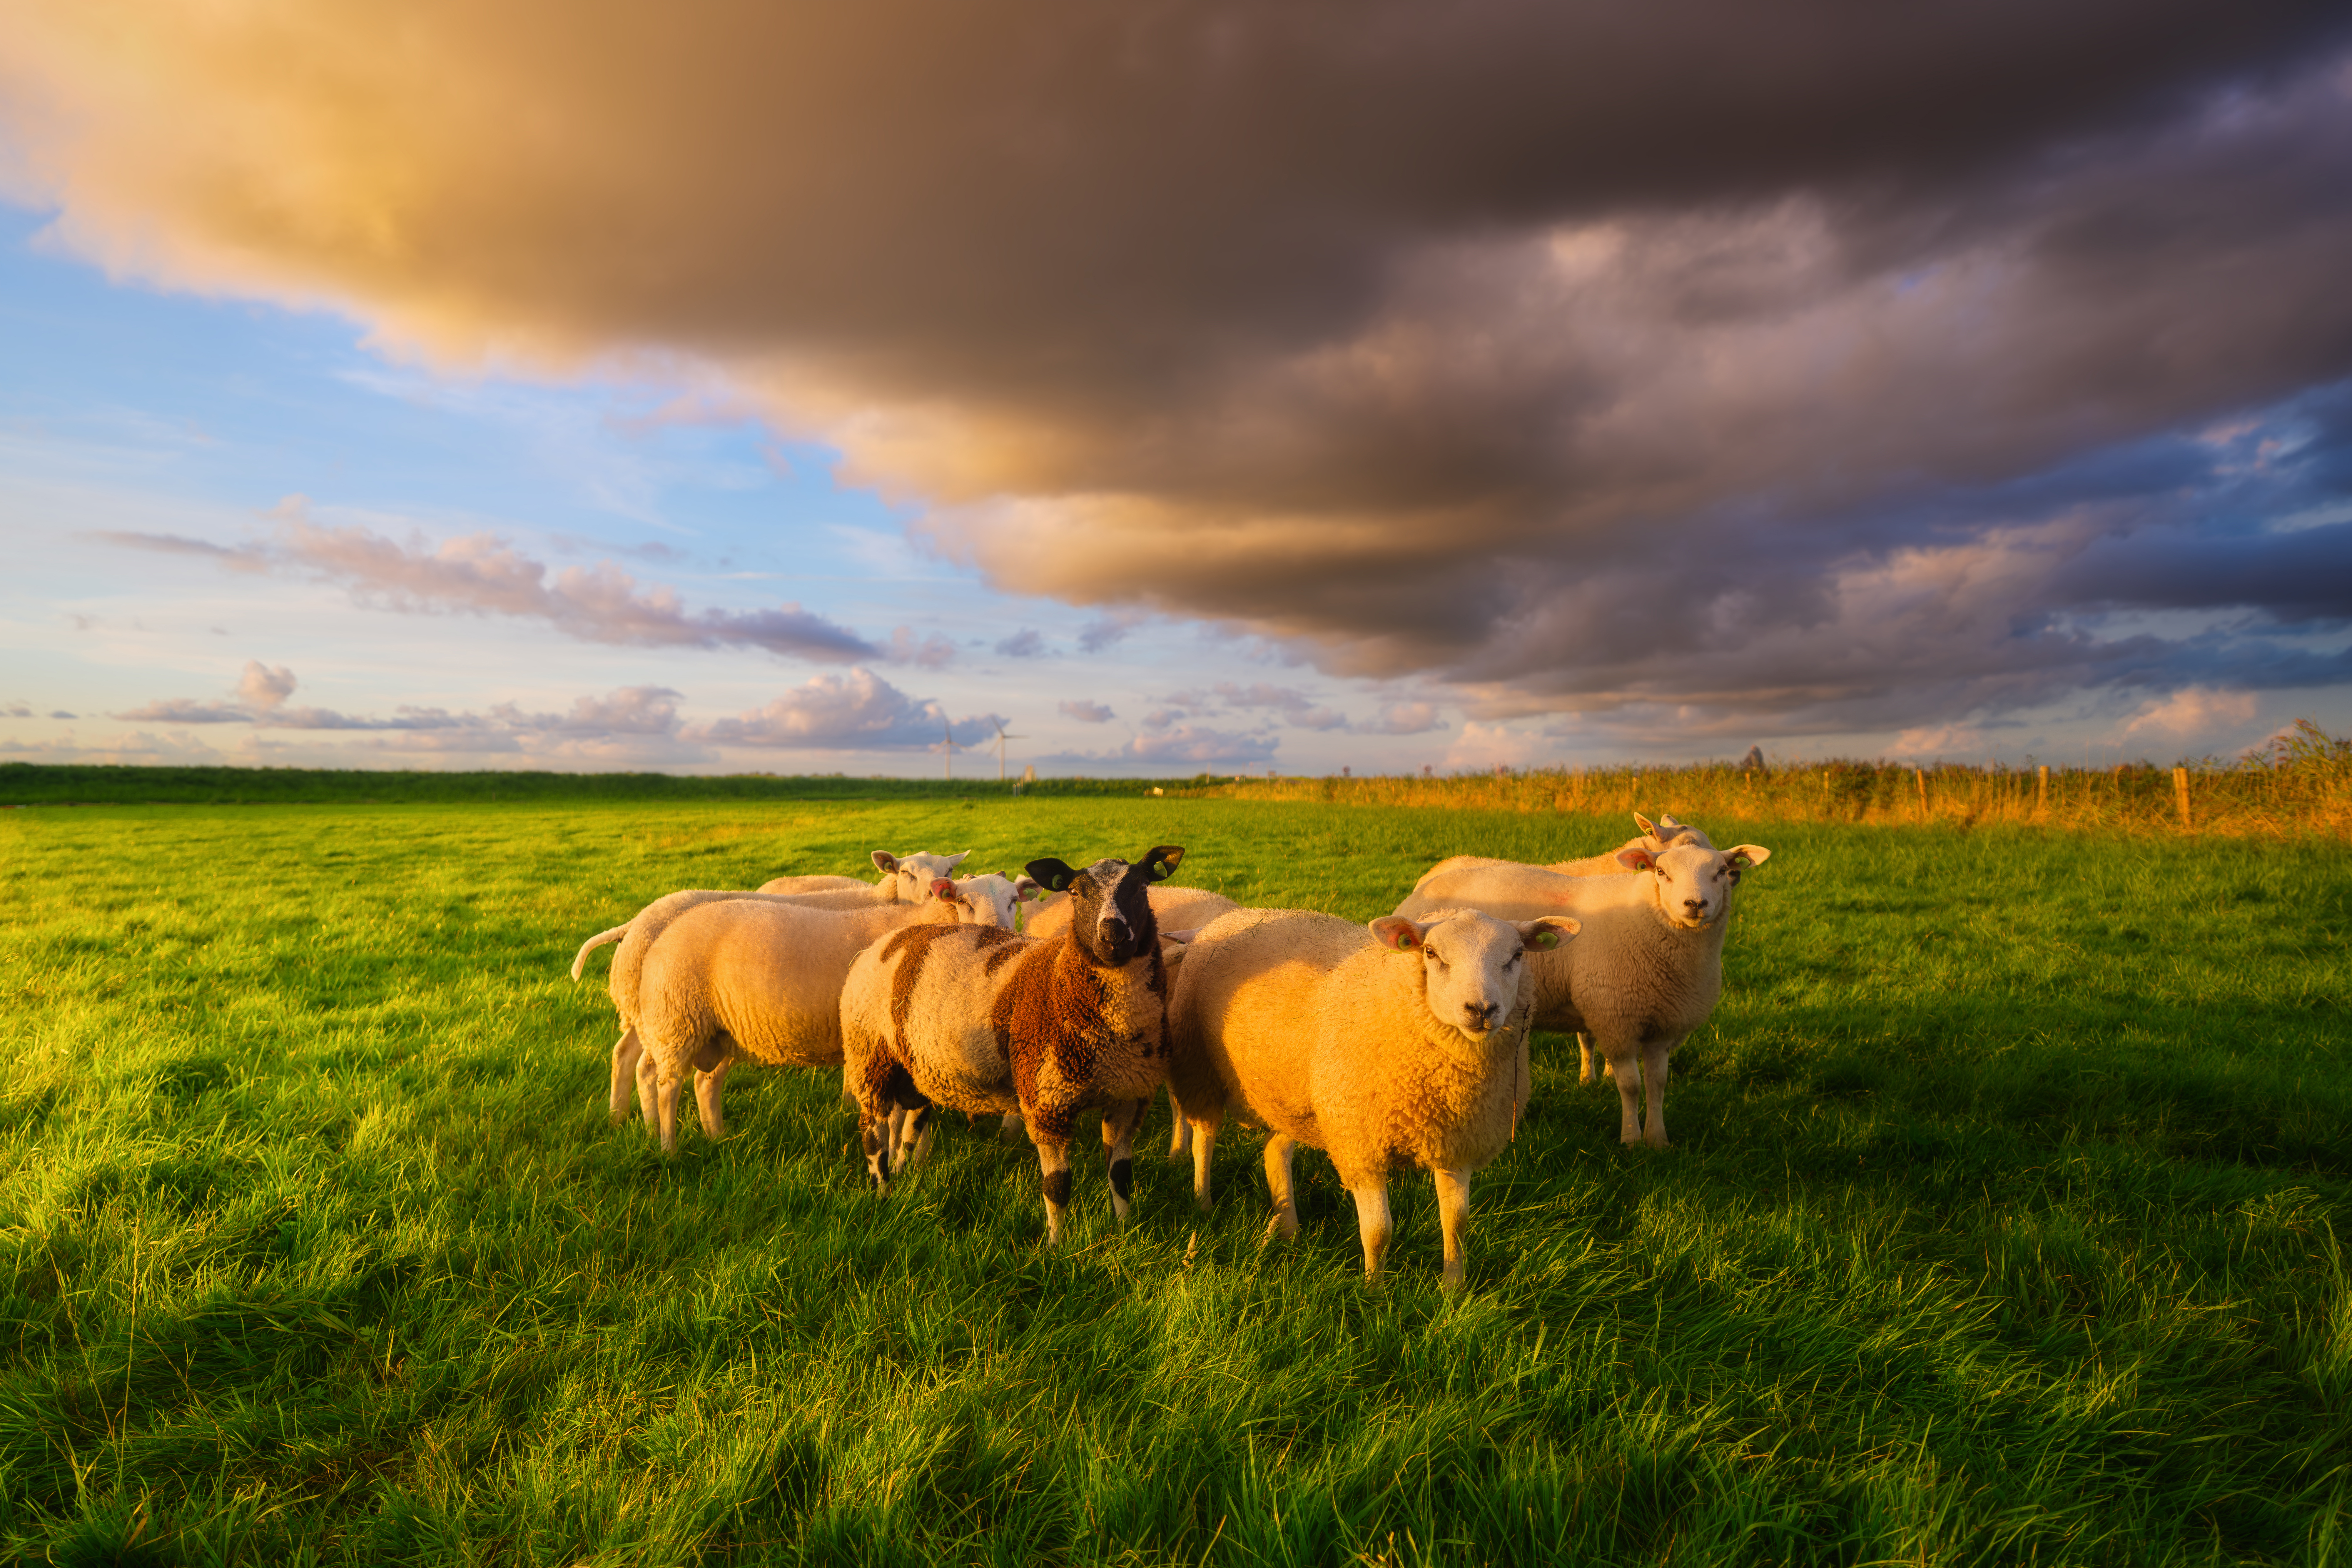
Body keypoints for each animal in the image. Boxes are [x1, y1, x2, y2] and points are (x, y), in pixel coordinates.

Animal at [625, 873, 1026, 1154]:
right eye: (963, 900)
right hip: (676, 1021)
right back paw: (667, 1147)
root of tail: (662, 927)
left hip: (721, 1030)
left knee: (705, 1082)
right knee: (666, 1085)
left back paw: (716, 1137)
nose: (997, 935)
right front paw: (909, 1158)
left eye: (1013, 901)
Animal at [839, 846, 1188, 1245]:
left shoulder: (1129, 1097)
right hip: (869, 1055)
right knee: (873, 1133)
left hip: (915, 1067)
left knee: (910, 1126)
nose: (1112, 934)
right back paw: (882, 1191)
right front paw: (1055, 1247)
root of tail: (890, 939)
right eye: (1074, 892)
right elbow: (1057, 1186)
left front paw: (1123, 1231)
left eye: (1143, 886)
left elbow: (1121, 1176)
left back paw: (904, 1172)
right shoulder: (1047, 1101)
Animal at [1166, 905, 1577, 1288]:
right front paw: (1373, 1293)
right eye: (1431, 952)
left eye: (1517, 955)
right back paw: (1203, 1204)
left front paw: (1454, 1289)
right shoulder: (1361, 1147)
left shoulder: (1455, 1144)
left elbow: (1457, 1223)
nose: (1481, 1009)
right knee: (1204, 1139)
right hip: (1199, 1068)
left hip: (1299, 1100)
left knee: (1275, 1151)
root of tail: (1233, 917)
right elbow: (1379, 1232)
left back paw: (1288, 1228)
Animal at [1392, 826, 1771, 1149]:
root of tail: (1431, 878)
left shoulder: (1663, 1025)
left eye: (1720, 870)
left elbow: (1657, 1083)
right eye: (1662, 873)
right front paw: (1631, 1139)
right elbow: (1630, 1084)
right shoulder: (1614, 1017)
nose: (1695, 904)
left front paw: (1657, 1139)